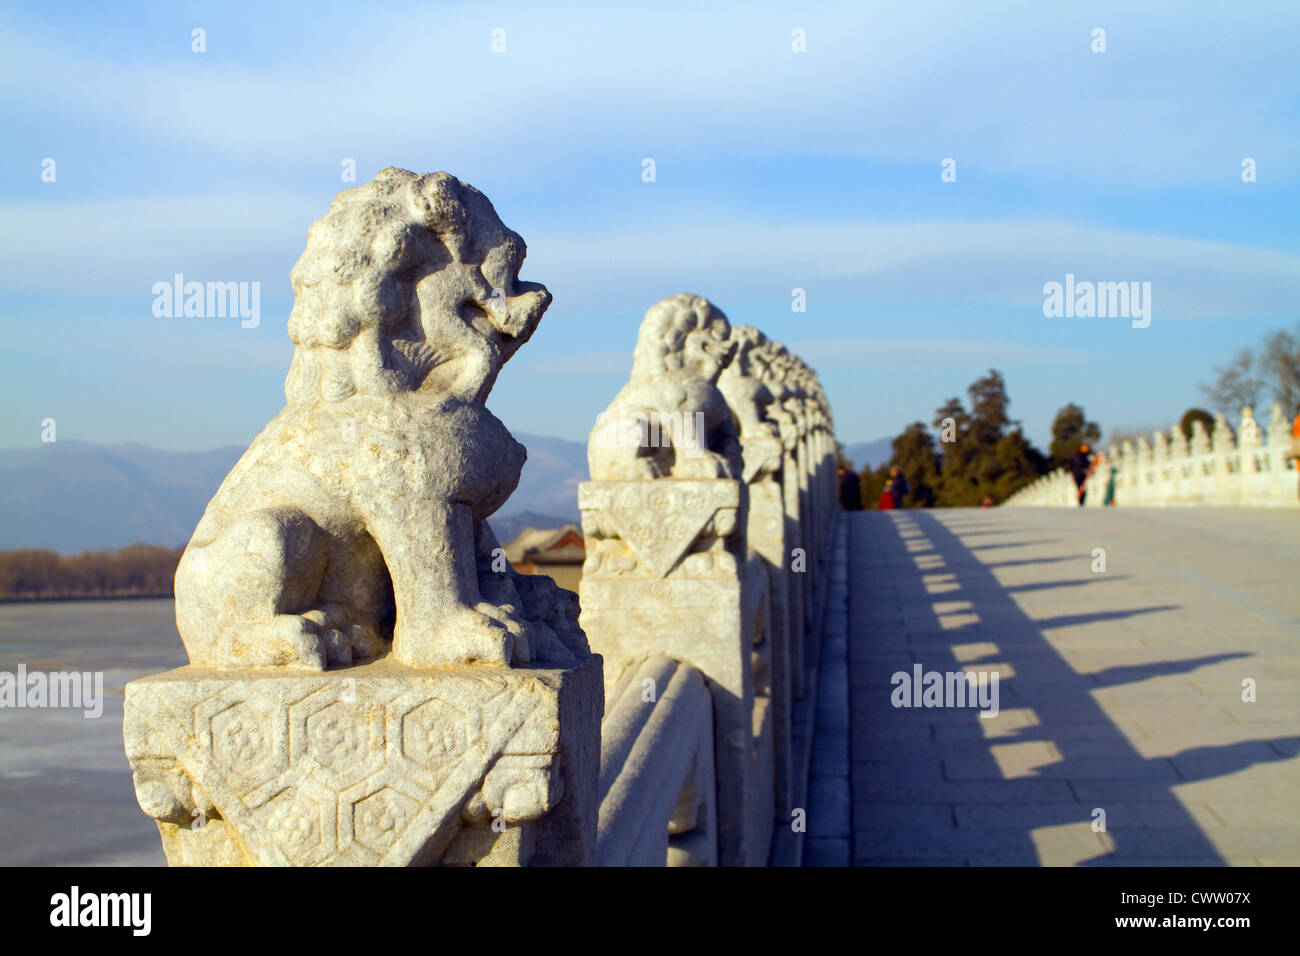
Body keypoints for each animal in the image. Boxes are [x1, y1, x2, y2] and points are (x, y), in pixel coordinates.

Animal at [174, 168, 589, 671]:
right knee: (234, 625)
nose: (521, 247)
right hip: (270, 532)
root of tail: (183, 623)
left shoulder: (466, 503)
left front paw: (529, 610)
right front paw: (464, 635)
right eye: (482, 245)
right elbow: (436, 576)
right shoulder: (413, 499)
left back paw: (339, 627)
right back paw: (302, 636)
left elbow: (487, 563)